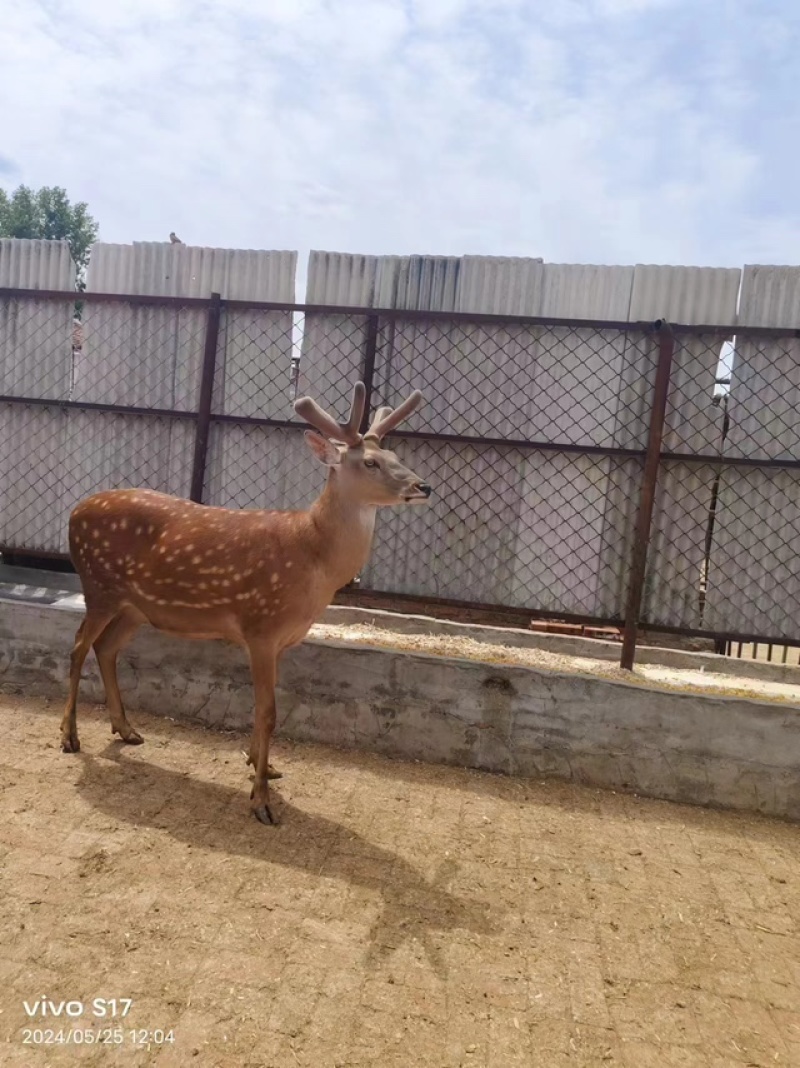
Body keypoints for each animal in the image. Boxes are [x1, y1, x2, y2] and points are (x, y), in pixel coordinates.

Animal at [59, 382, 431, 825]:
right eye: (371, 462)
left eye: (396, 457)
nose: (423, 486)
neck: (313, 558)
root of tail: (73, 512)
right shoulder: (260, 626)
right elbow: (267, 711)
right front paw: (261, 800)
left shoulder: (282, 639)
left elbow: (262, 707)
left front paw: (262, 765)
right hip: (98, 586)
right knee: (78, 646)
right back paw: (69, 737)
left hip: (135, 607)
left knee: (105, 648)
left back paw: (126, 729)